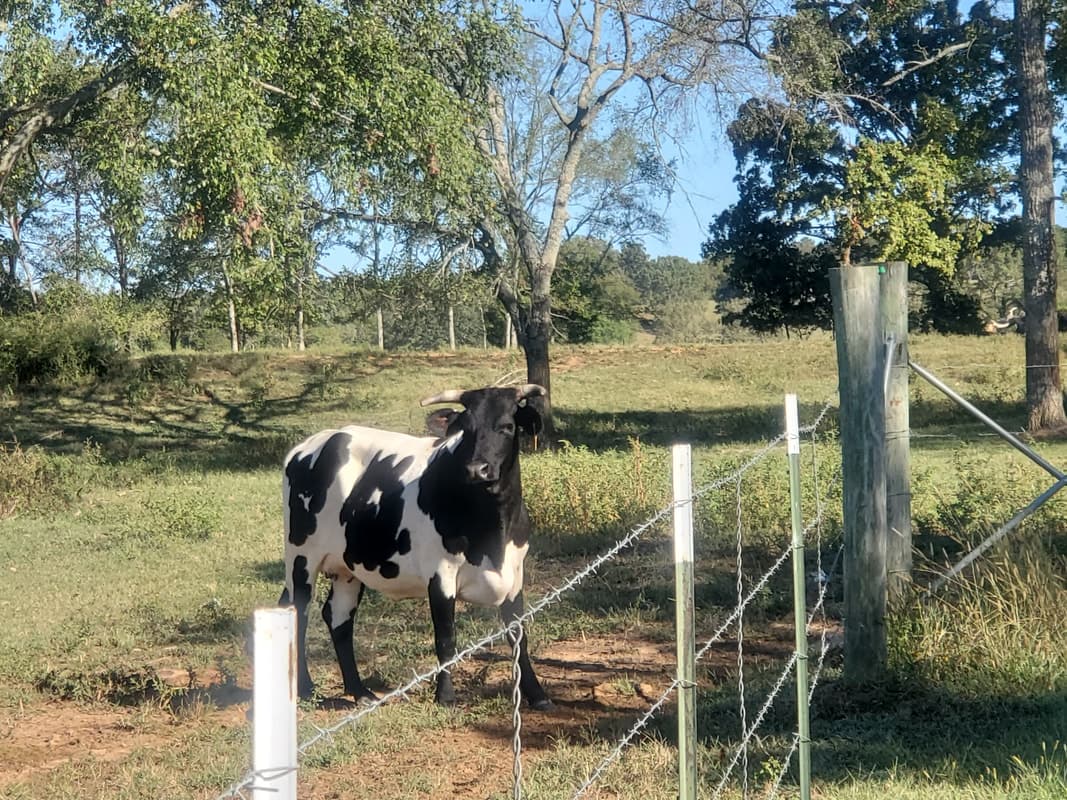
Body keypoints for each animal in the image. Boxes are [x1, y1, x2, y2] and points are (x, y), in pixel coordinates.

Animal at [279, 383, 552, 710]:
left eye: (507, 427)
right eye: (466, 429)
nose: (477, 469)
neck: (493, 531)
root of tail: (315, 442)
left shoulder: (514, 572)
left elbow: (518, 635)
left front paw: (537, 694)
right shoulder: (441, 574)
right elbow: (446, 637)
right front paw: (445, 696)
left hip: (347, 566)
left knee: (338, 617)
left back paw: (359, 692)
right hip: (301, 556)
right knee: (299, 611)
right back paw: (306, 689)